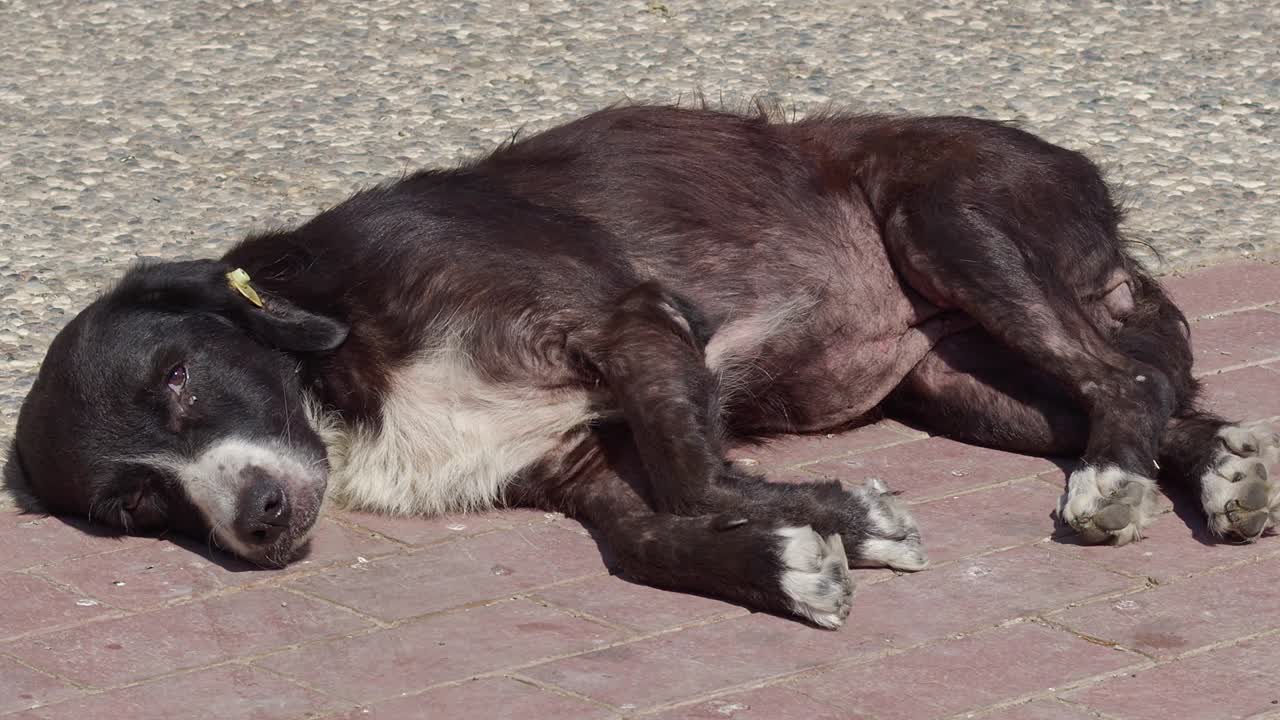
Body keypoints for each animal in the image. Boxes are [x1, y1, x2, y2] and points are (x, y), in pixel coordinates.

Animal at [12, 103, 1280, 625]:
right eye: (132, 510)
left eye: (178, 380)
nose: (258, 523)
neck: (339, 363)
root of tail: (1076, 167)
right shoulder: (568, 460)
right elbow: (648, 539)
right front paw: (784, 562)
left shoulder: (630, 322)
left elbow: (694, 472)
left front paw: (840, 519)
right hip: (959, 384)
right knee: (1132, 395)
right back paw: (1219, 471)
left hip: (950, 219)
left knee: (1122, 377)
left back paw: (1112, 486)